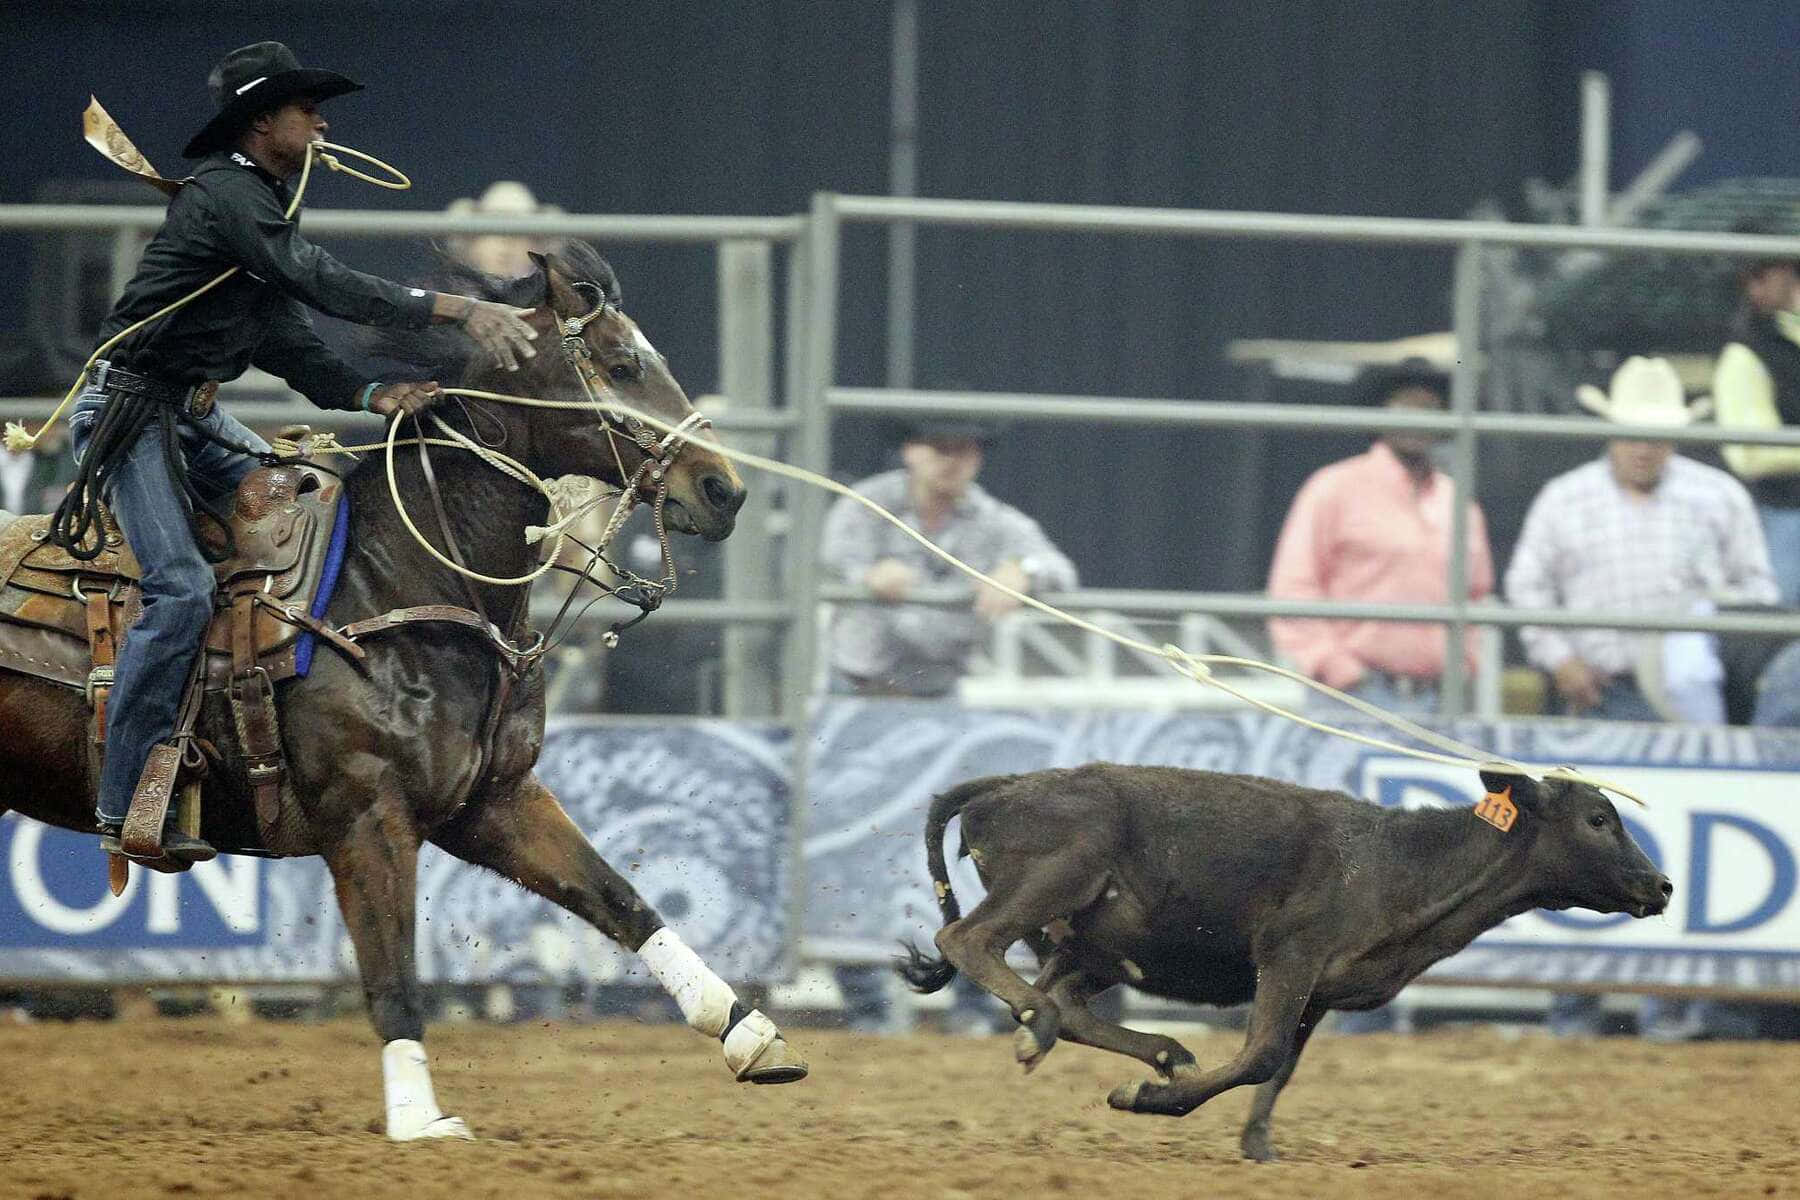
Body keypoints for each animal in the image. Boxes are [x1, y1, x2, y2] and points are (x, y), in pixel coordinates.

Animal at [0, 243, 808, 1140]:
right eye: (622, 364)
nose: (724, 489)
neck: (395, 580)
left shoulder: (494, 800)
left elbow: (622, 899)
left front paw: (747, 1031)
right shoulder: (368, 815)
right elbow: (393, 973)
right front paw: (420, 1118)